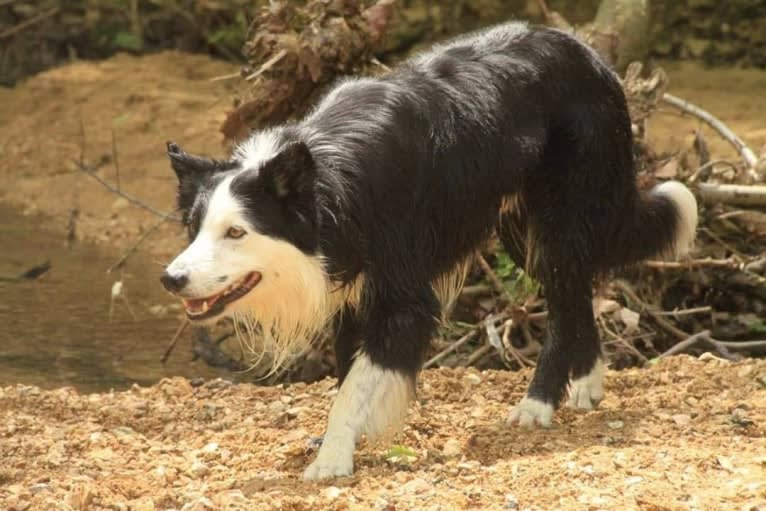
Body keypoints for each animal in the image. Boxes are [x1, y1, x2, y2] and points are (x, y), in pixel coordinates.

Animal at [164, 23, 704, 480]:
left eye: (236, 232)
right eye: (193, 228)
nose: (171, 279)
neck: (331, 182)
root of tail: (592, 57)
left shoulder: (406, 297)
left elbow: (357, 384)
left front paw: (332, 459)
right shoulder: (353, 293)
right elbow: (348, 376)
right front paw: (343, 443)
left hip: (559, 217)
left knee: (564, 298)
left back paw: (537, 405)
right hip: (522, 228)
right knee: (573, 297)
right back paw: (587, 386)